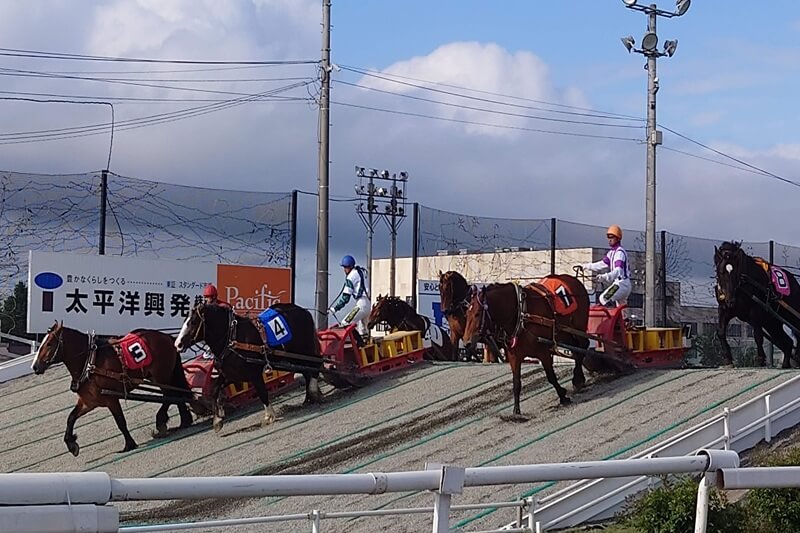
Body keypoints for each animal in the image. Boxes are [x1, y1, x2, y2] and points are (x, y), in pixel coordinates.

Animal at [175, 302, 324, 430]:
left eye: (193, 322)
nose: (178, 344)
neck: (232, 338)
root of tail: (304, 311)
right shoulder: (232, 375)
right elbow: (215, 389)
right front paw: (217, 419)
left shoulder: (254, 374)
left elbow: (262, 392)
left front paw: (269, 416)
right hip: (294, 356)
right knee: (307, 371)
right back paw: (308, 398)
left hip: (304, 350)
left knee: (316, 365)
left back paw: (313, 392)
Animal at [466, 274, 592, 416]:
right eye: (466, 314)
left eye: (477, 314)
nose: (467, 343)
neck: (521, 315)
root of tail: (574, 279)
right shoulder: (514, 356)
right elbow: (516, 383)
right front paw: (516, 409)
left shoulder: (543, 352)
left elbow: (551, 377)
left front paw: (563, 396)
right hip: (564, 333)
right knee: (576, 350)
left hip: (578, 327)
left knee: (583, 346)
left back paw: (578, 378)